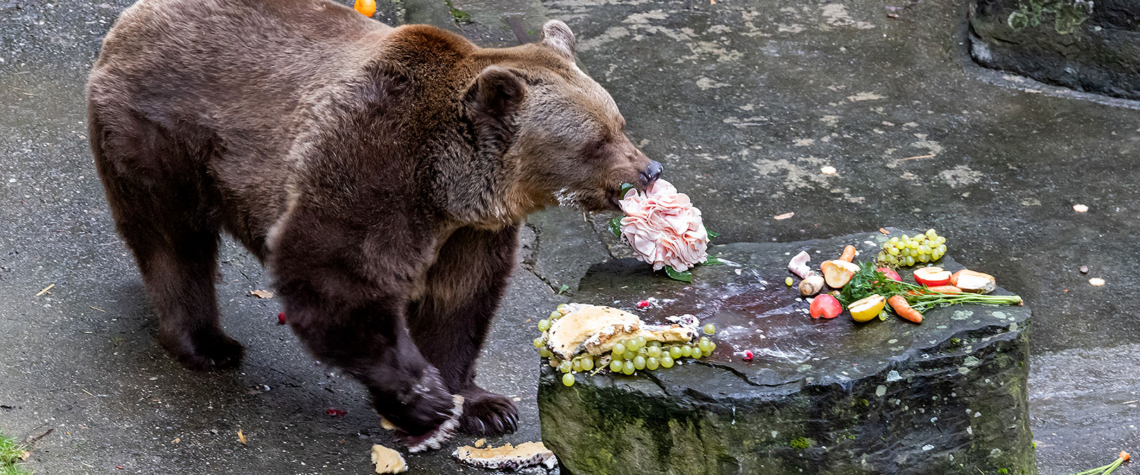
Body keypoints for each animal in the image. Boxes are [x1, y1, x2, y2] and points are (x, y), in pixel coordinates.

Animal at [86, 0, 661, 448]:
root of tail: (130, 20)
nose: (649, 171)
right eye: (596, 143)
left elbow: (458, 302)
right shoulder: (373, 163)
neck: (450, 186)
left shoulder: (470, 233)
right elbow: (335, 275)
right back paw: (208, 345)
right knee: (174, 243)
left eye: (619, 123)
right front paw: (425, 399)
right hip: (162, 138)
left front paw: (485, 405)